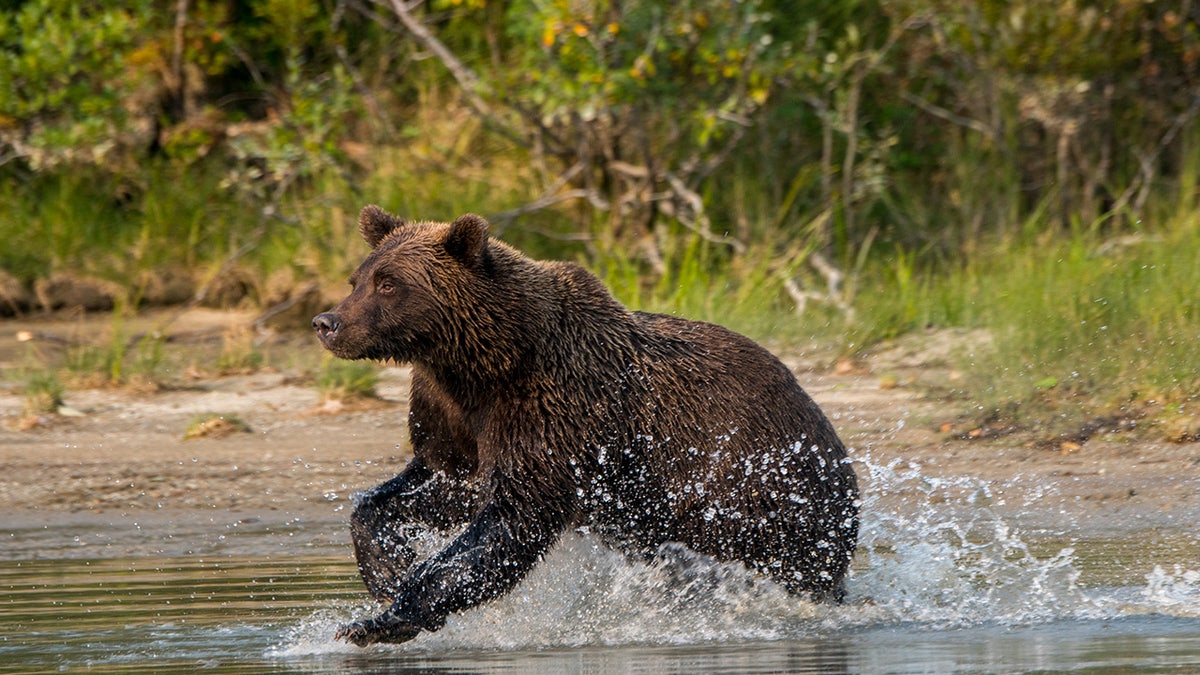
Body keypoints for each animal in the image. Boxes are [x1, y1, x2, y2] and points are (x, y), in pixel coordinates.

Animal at [309, 204, 854, 638]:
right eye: (357, 280)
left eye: (388, 283)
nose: (326, 323)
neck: (480, 364)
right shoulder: (453, 416)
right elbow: (436, 485)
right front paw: (386, 571)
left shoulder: (550, 406)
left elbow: (514, 517)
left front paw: (379, 620)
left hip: (763, 494)